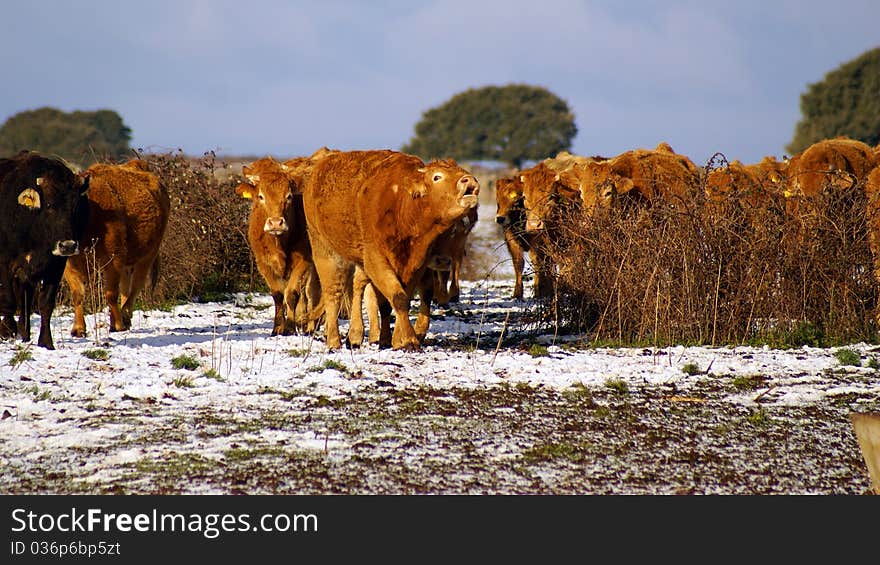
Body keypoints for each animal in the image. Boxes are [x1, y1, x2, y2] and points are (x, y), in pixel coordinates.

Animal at [0, 150, 90, 348]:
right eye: (49, 205)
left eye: (75, 206)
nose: (68, 245)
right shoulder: (4, 264)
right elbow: (8, 301)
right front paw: (7, 331)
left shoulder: (55, 266)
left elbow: (46, 304)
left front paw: (46, 342)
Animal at [62, 156, 171, 338]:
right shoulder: (69, 264)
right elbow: (78, 294)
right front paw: (78, 329)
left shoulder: (113, 259)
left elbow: (111, 294)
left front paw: (118, 325)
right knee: (126, 286)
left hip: (149, 253)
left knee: (136, 285)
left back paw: (124, 316)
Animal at [235, 153, 318, 334]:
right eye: (260, 196)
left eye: (289, 196)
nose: (275, 223)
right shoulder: (264, 264)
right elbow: (278, 295)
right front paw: (278, 327)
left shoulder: (304, 261)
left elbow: (292, 293)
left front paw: (290, 326)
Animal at [300, 149, 482, 348]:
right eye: (437, 177)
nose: (468, 179)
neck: (402, 208)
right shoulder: (376, 261)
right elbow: (397, 297)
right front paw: (409, 340)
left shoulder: (416, 265)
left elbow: (399, 299)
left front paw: (396, 339)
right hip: (325, 251)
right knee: (333, 292)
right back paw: (334, 340)